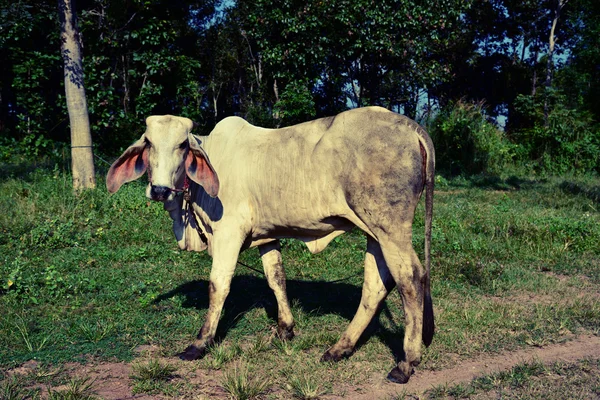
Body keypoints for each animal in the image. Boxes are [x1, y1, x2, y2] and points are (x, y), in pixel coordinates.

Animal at [108, 107, 434, 384]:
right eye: (149, 143)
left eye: (182, 146)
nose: (160, 190)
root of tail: (411, 125)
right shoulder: (267, 237)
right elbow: (276, 278)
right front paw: (285, 328)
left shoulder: (229, 232)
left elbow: (218, 285)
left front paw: (200, 343)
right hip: (374, 233)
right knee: (375, 286)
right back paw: (339, 348)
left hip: (390, 227)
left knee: (410, 279)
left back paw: (406, 363)